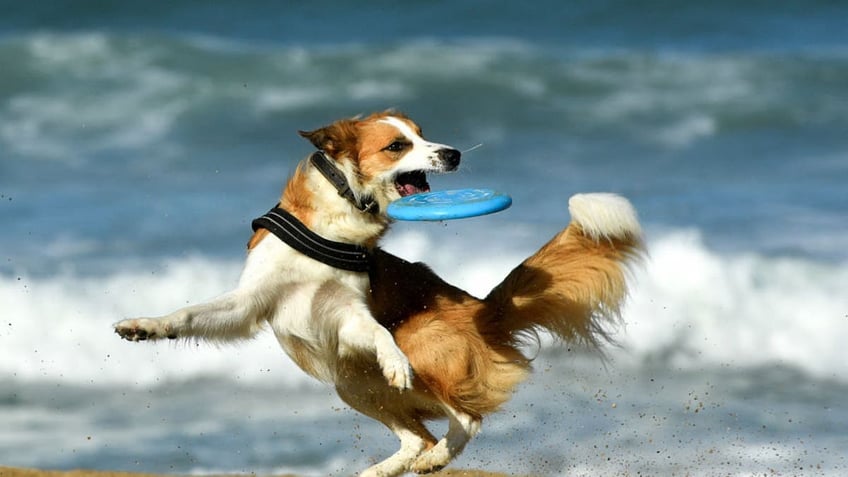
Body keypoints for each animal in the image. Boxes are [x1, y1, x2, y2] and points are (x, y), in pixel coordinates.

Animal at [112, 112, 644, 476]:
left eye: (425, 135)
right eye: (397, 145)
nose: (453, 153)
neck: (338, 216)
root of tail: (484, 308)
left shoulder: (350, 311)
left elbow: (377, 333)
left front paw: (392, 360)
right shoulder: (251, 300)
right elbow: (189, 314)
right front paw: (143, 327)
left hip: (421, 347)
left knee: (465, 419)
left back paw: (435, 454)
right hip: (351, 383)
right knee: (416, 437)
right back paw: (387, 469)